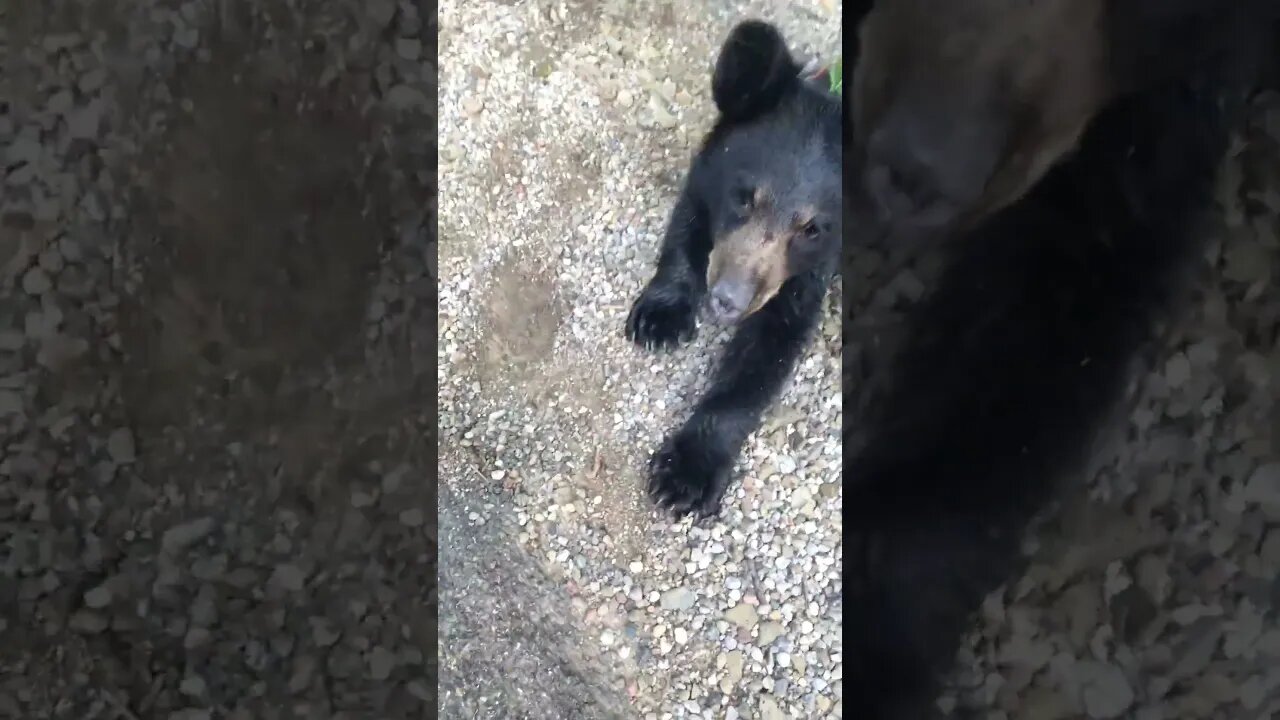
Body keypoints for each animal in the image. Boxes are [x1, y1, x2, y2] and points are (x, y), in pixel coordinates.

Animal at [624, 20, 844, 515]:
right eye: (744, 197)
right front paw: (660, 317)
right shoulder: (707, 179)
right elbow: (687, 225)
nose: (728, 301)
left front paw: (686, 472)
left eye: (812, 229)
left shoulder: (804, 277)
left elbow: (766, 352)